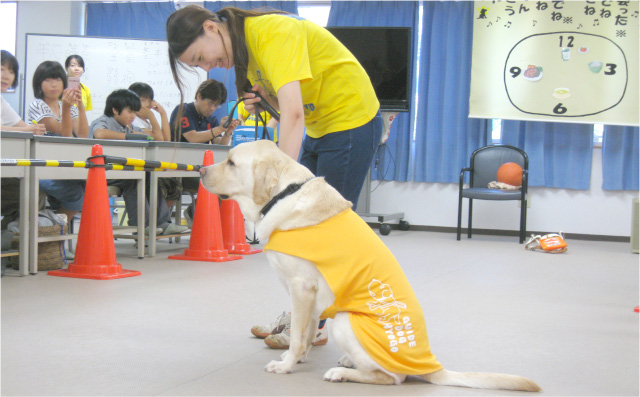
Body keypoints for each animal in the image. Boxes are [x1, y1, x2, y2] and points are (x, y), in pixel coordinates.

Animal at [200, 140, 540, 390]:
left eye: (231, 162)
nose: (201, 169)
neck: (285, 194)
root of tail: (432, 366)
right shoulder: (309, 297)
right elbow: (306, 333)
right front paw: (298, 358)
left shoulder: (301, 287)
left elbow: (298, 335)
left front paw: (285, 365)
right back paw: (348, 362)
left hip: (343, 321)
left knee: (392, 377)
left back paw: (343, 373)